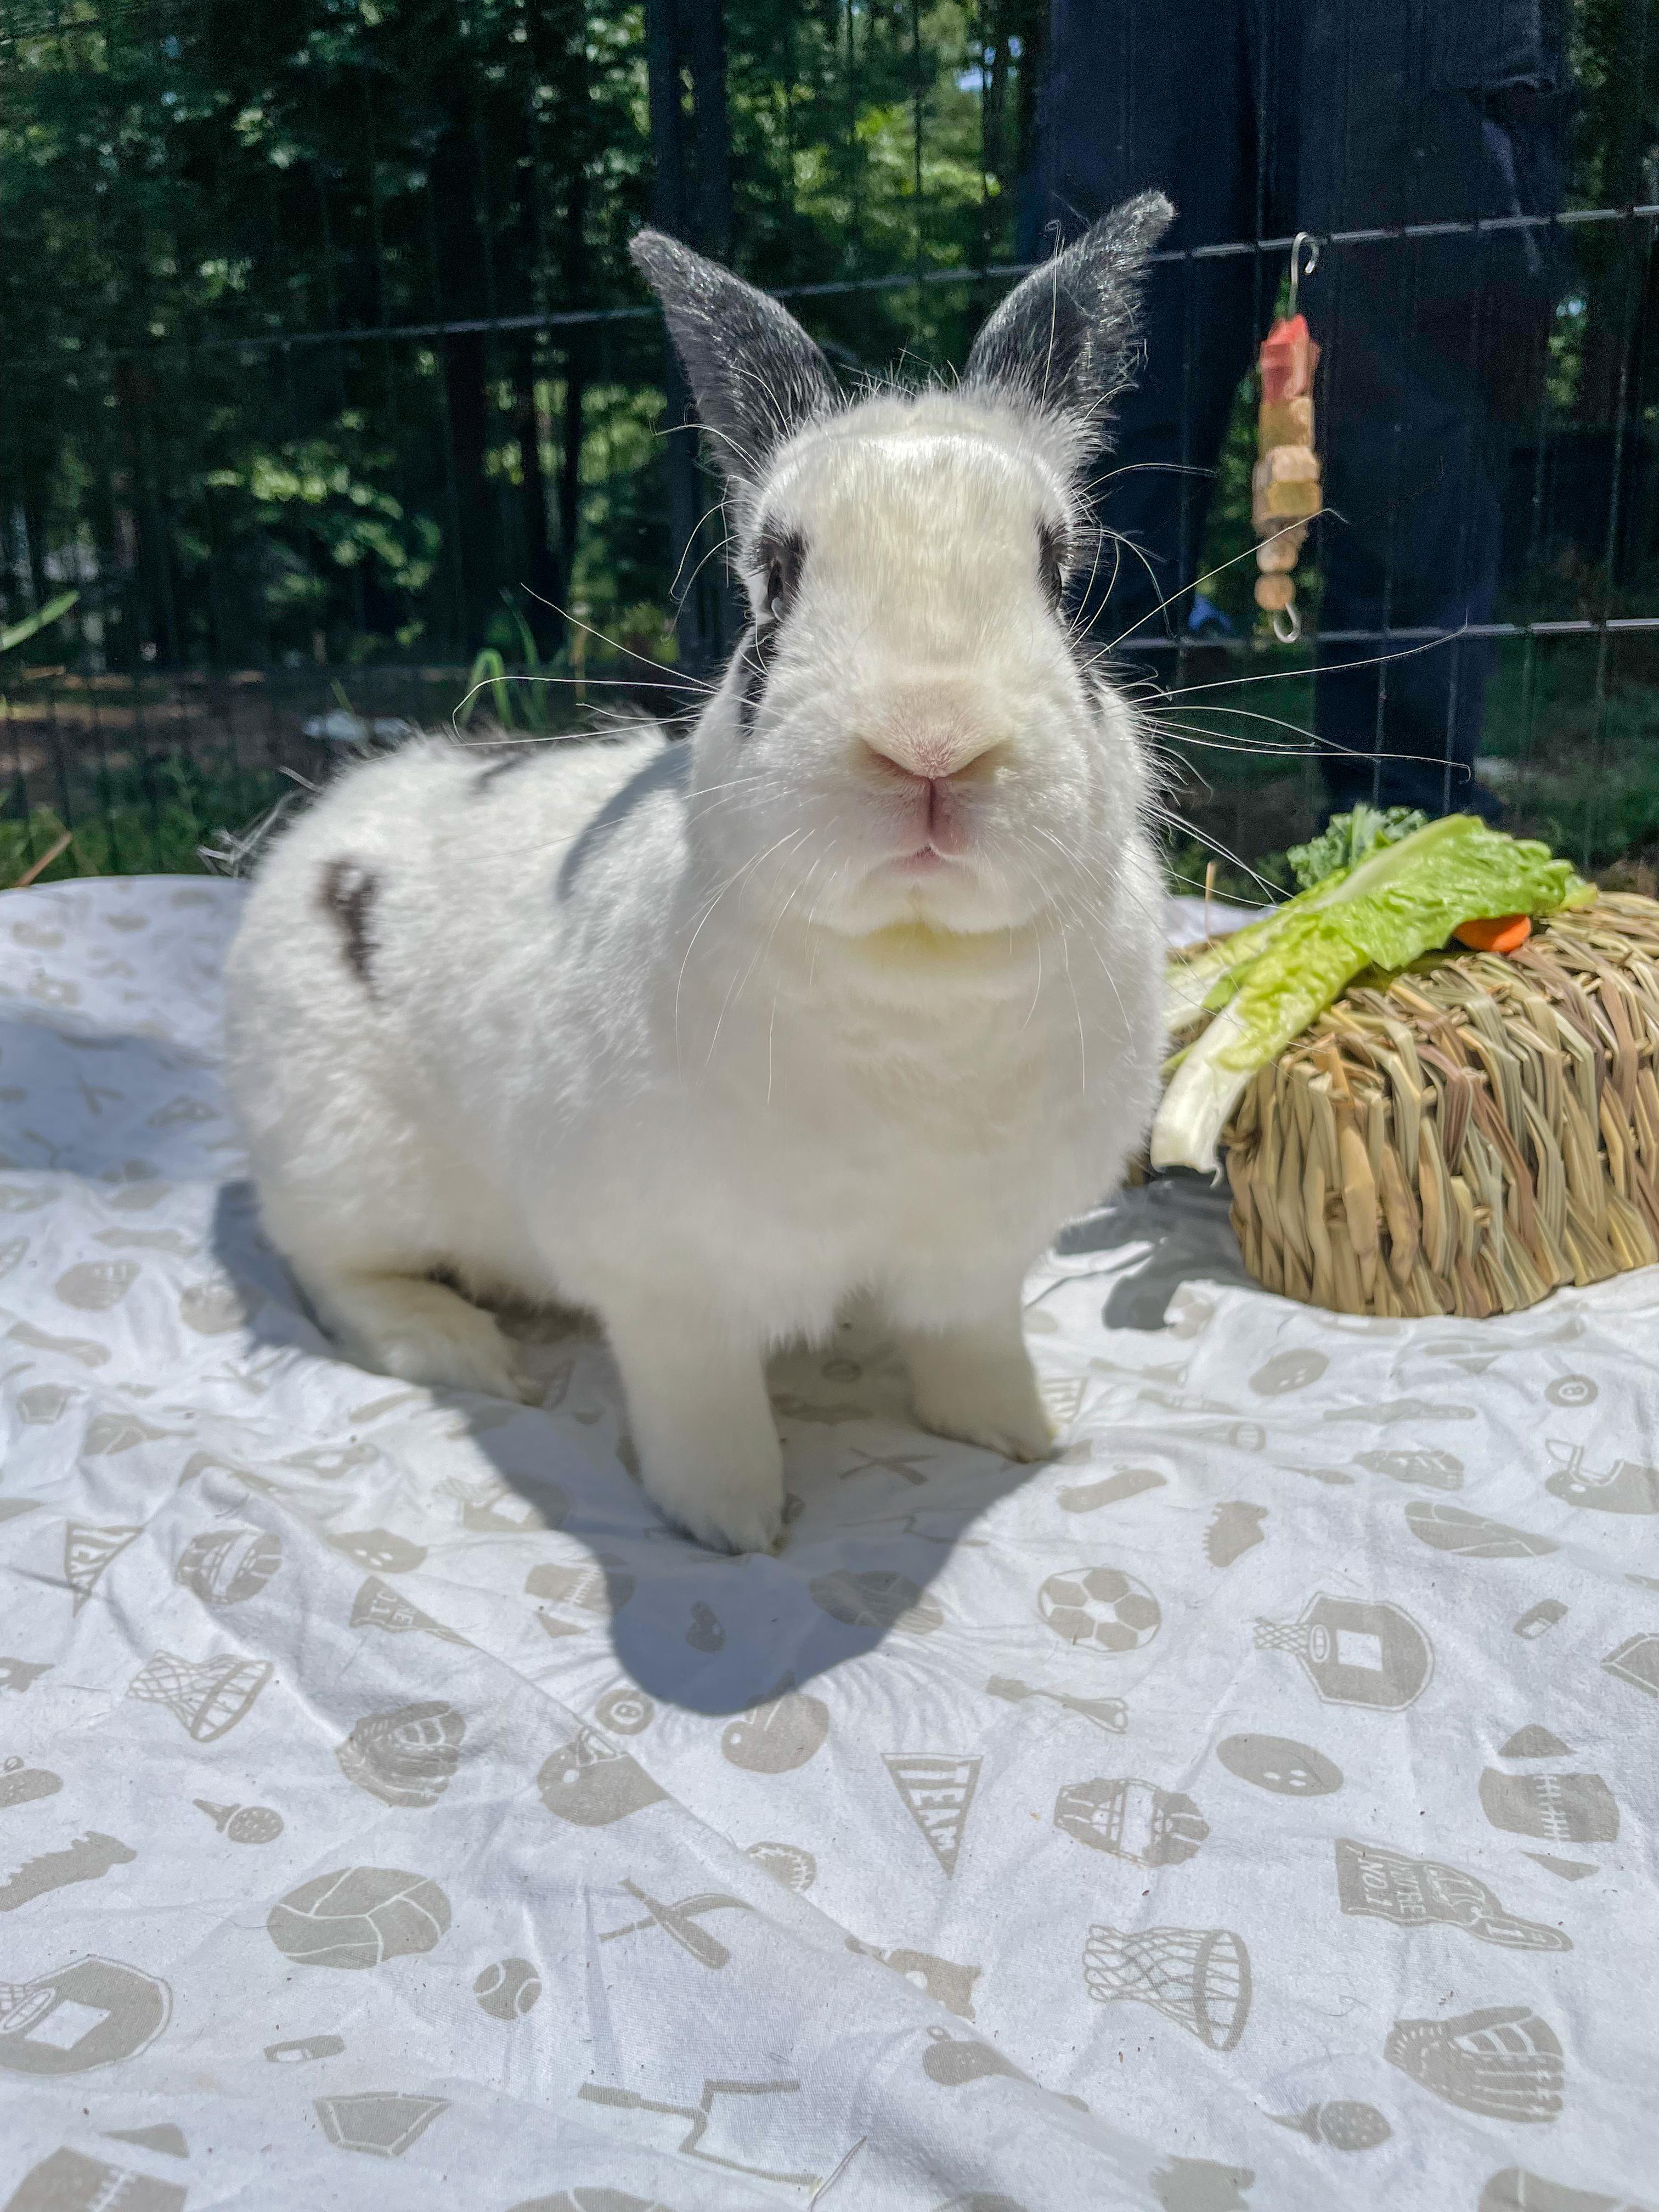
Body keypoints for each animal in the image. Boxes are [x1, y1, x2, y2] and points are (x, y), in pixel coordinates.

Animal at [222, 190, 1173, 1555]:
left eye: (1059, 575)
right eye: (774, 582)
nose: (931, 742)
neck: (916, 966)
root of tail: (313, 837)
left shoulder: (975, 1257)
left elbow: (971, 1348)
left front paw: (1019, 1437)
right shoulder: (671, 1281)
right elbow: (703, 1399)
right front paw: (732, 1526)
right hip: (340, 1164)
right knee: (332, 1273)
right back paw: (462, 1347)